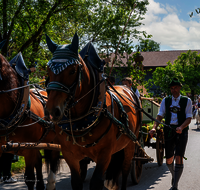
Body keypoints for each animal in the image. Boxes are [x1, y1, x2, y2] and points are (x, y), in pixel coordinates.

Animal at [44, 34, 141, 190]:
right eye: (48, 70)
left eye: (72, 71)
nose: (52, 111)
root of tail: (127, 89)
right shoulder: (70, 155)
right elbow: (76, 182)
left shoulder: (104, 154)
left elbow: (96, 182)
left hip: (131, 144)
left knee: (126, 169)